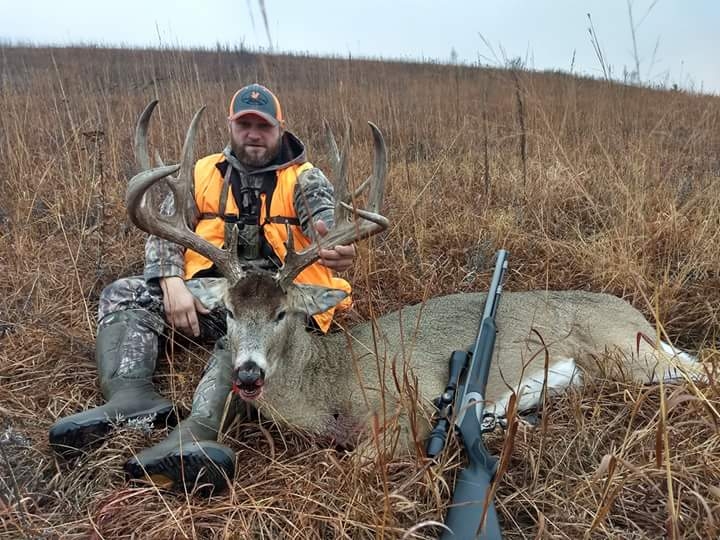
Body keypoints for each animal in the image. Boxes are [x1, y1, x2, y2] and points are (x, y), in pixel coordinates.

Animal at [126, 102, 704, 456]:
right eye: (226, 311)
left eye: (282, 312)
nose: (246, 375)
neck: (329, 388)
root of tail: (635, 313)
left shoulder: (411, 408)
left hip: (623, 351)